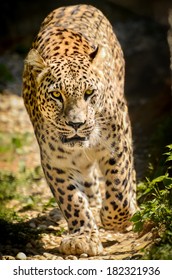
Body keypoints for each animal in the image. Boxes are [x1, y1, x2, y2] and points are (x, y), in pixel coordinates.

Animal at [22, 3, 138, 256]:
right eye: (57, 95)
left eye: (89, 93)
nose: (76, 124)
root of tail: (73, 4)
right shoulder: (56, 161)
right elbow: (72, 199)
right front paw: (83, 237)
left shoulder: (116, 145)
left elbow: (119, 188)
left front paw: (115, 219)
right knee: (88, 178)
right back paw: (93, 204)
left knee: (129, 175)